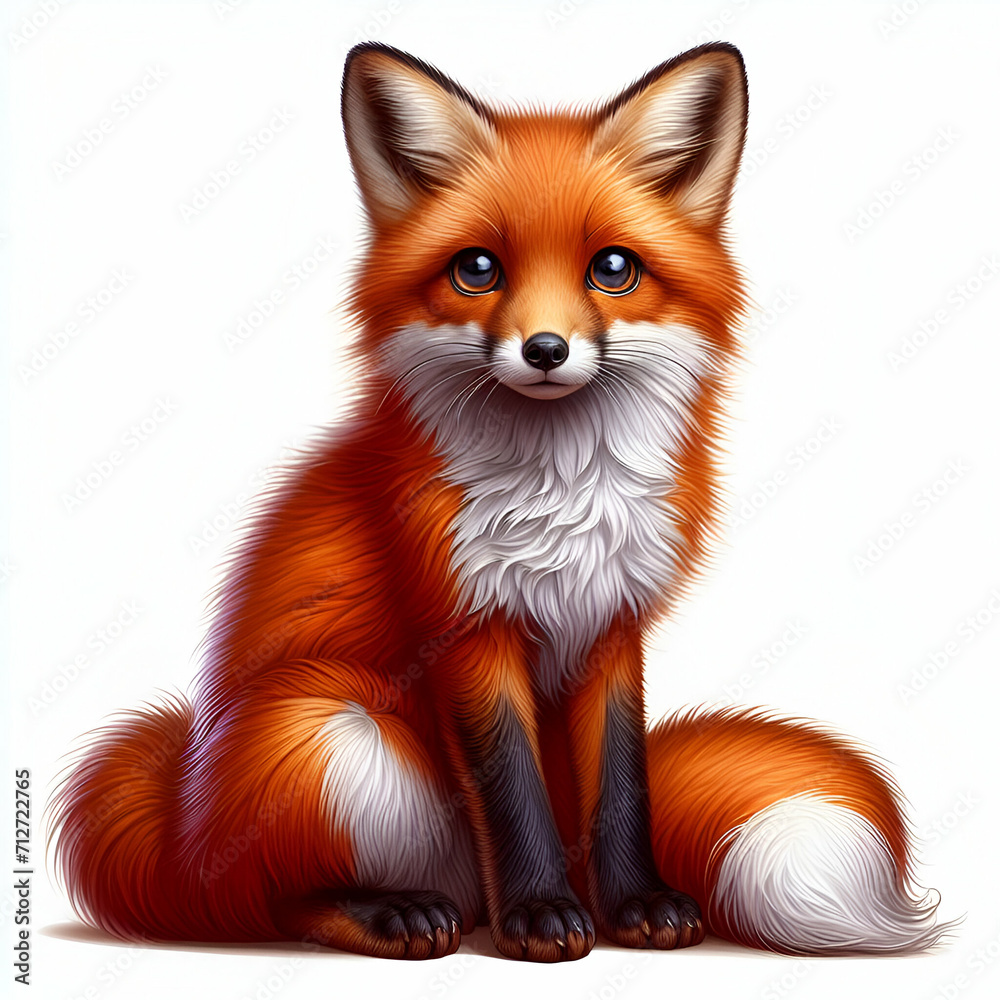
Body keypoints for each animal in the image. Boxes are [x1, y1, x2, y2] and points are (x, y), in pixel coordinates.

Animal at [50, 42, 952, 962]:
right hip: (327, 726)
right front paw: (542, 917)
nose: (545, 349)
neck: (565, 495)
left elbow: (623, 784)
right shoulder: (466, 625)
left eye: (613, 269)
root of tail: (175, 828)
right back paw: (398, 912)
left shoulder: (610, 624)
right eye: (477, 269)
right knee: (272, 904)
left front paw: (637, 904)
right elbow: (511, 787)